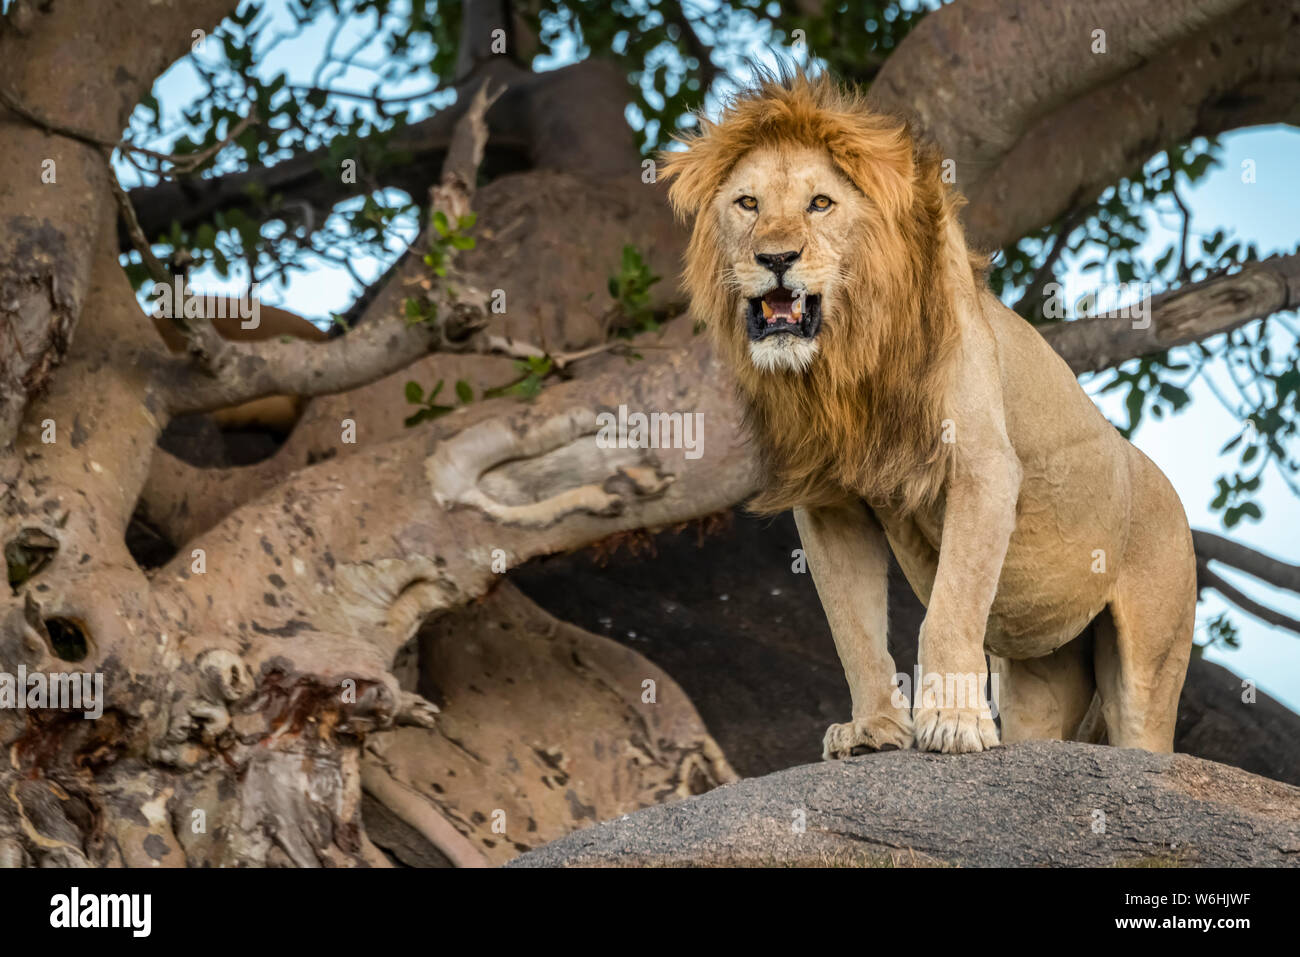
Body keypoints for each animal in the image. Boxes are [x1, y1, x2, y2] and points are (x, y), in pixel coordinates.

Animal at [661, 72, 1196, 756]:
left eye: (820, 204)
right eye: (748, 204)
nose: (776, 258)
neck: (845, 363)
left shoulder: (982, 468)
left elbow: (950, 608)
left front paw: (953, 723)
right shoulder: (830, 505)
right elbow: (853, 628)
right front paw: (871, 730)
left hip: (1150, 662)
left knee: (1143, 730)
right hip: (1042, 673)